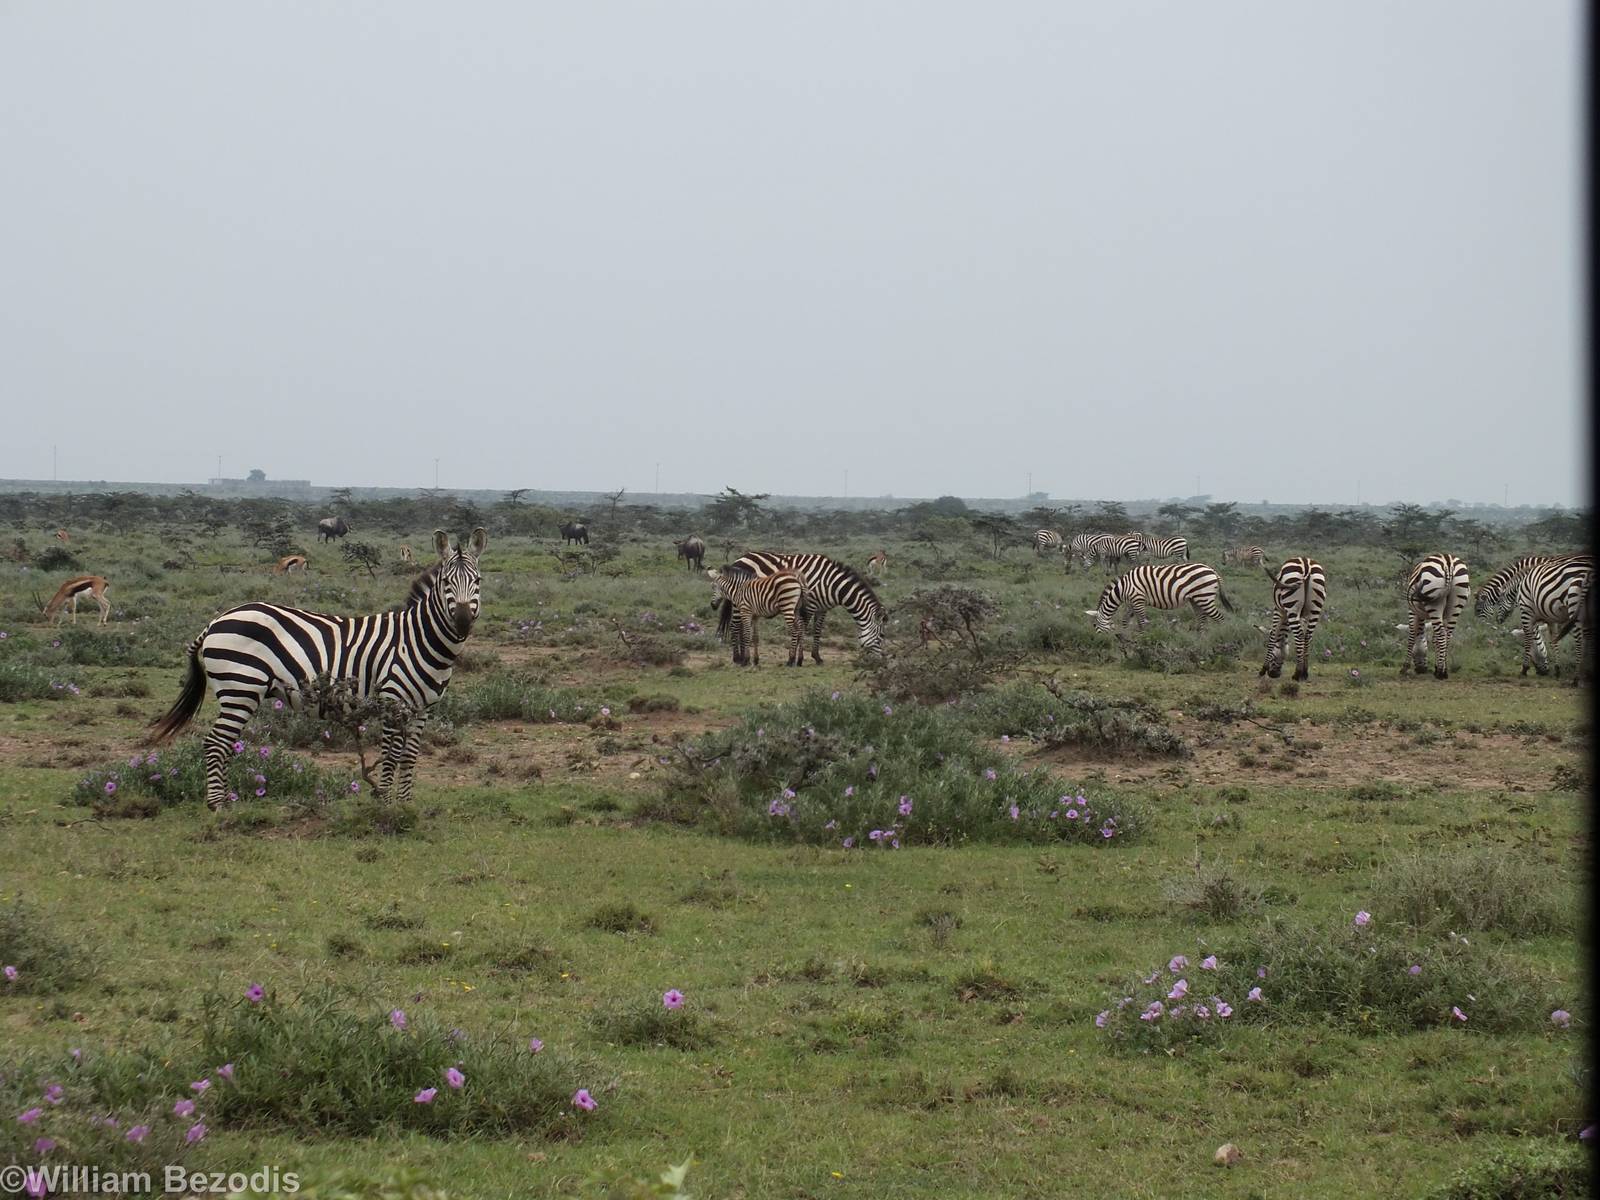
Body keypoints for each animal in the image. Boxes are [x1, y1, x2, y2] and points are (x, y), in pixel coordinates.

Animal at [148, 529, 487, 810]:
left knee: (224, 743)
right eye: (446, 583)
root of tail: (216, 621)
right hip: (240, 687)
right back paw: (218, 805)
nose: (462, 622)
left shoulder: (422, 709)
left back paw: (225, 799)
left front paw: (405, 804)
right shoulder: (392, 700)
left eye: (478, 581)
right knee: (216, 743)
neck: (417, 639)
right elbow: (391, 756)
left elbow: (410, 756)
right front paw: (387, 806)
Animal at [716, 552, 886, 664]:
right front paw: (798, 658)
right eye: (881, 636)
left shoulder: (822, 608)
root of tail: (739, 558)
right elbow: (802, 629)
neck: (831, 585)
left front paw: (817, 657)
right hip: (739, 602)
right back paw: (737, 658)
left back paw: (743, 656)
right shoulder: (809, 605)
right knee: (735, 626)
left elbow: (817, 631)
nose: (882, 662)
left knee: (740, 626)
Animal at [1085, 563, 1233, 634]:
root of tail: (1213, 571)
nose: (1100, 640)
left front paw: (1144, 639)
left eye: (1094, 625)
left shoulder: (1138, 599)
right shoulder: (1132, 603)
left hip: (1204, 597)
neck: (1122, 588)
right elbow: (1126, 620)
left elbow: (1142, 622)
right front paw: (1125, 636)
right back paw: (1200, 639)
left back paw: (1221, 638)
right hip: (1196, 599)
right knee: (1202, 619)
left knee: (1220, 619)